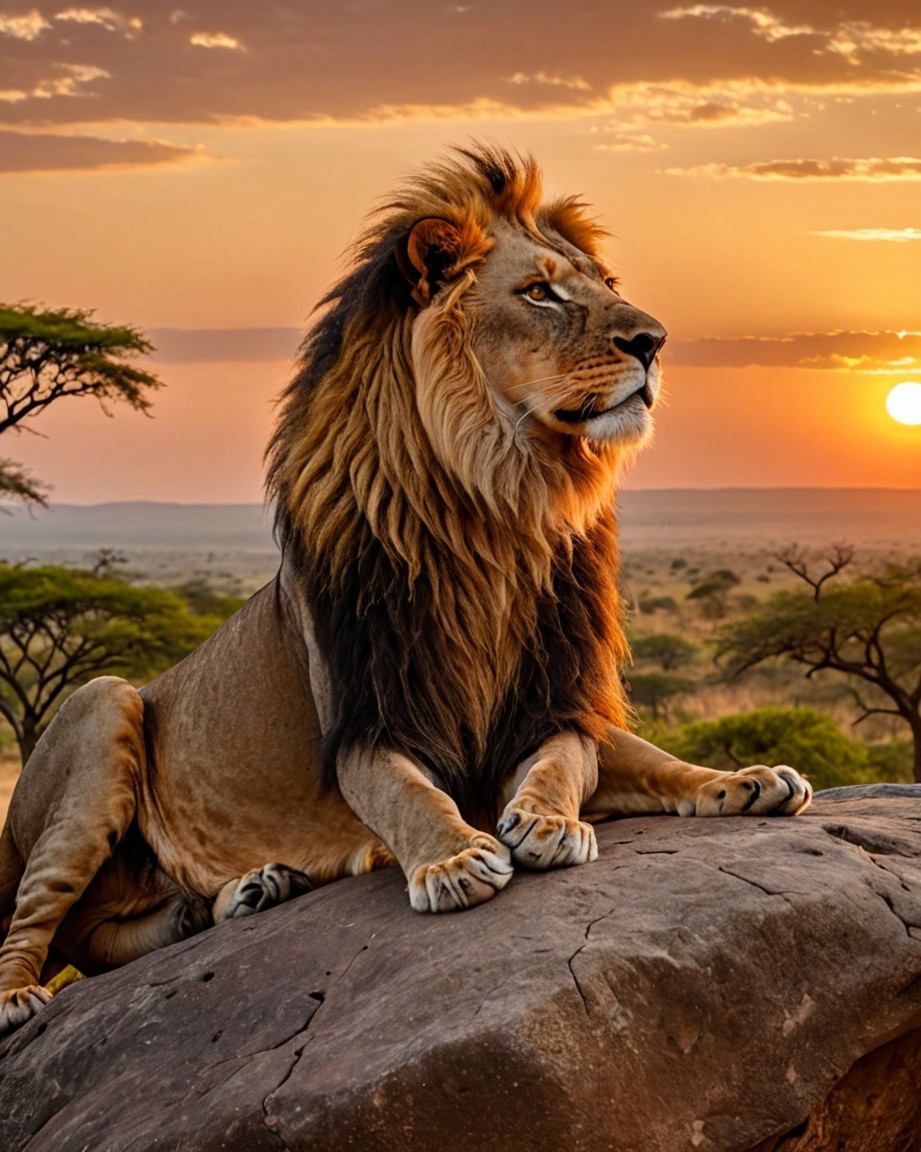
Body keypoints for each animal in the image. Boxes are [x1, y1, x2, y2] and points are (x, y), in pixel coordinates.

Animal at [0, 146, 811, 1035]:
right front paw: (455, 859)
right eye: (540, 293)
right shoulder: (366, 718)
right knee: (46, 921)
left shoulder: (551, 698)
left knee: (101, 935)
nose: (653, 341)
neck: (503, 510)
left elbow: (600, 761)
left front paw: (721, 784)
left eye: (601, 283)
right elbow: (404, 795)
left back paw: (241, 894)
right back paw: (21, 994)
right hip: (101, 708)